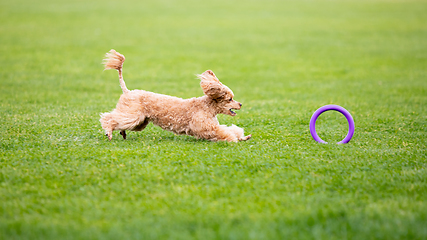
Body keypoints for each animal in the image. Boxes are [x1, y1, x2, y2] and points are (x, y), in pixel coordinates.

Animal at [99, 49, 251, 142]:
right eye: (230, 99)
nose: (240, 104)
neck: (208, 107)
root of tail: (127, 91)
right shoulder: (205, 127)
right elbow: (224, 133)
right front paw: (234, 139)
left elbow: (231, 130)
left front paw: (244, 137)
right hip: (133, 115)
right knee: (109, 118)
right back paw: (109, 132)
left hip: (140, 121)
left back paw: (122, 133)